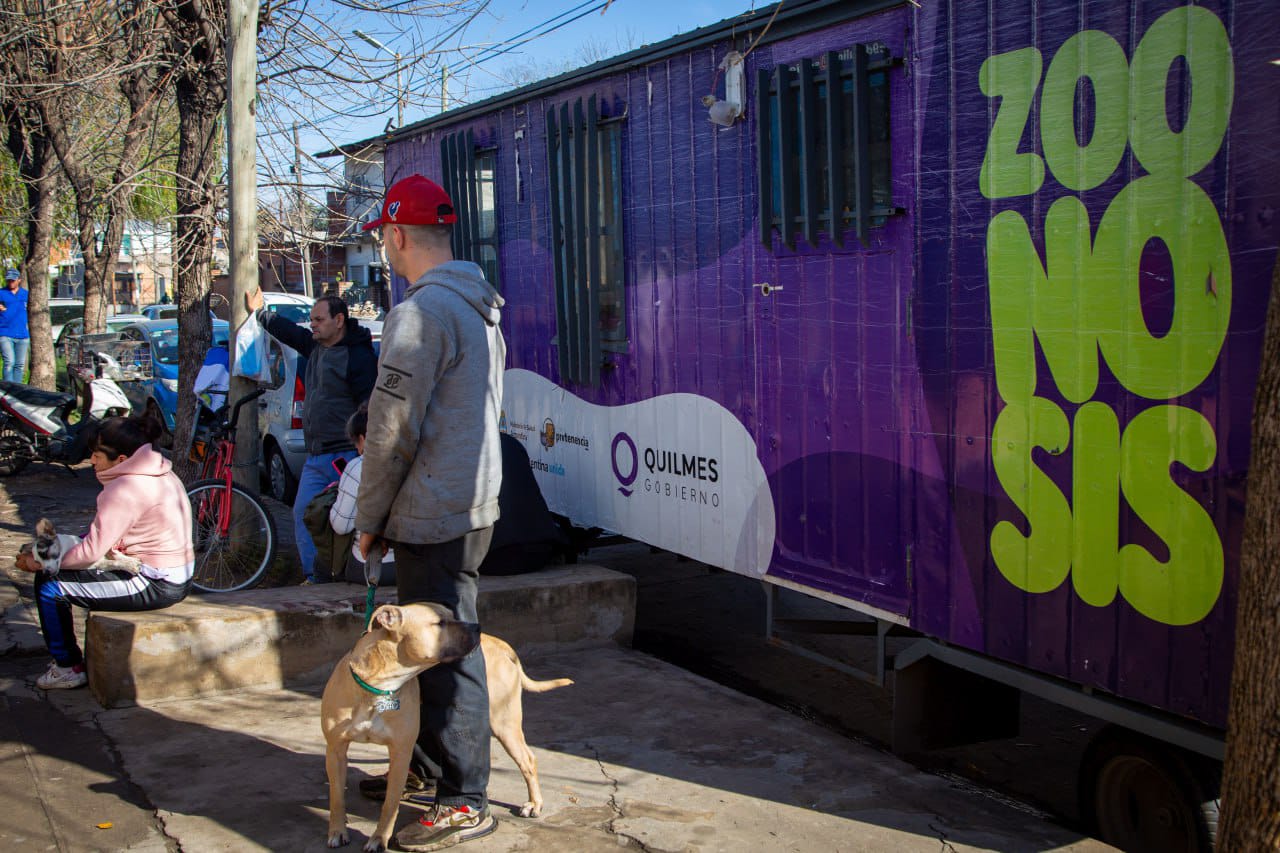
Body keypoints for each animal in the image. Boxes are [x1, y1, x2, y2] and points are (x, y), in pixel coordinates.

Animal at [320, 601, 576, 845]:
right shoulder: (335, 750)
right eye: (440, 623)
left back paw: (534, 803)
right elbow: (336, 798)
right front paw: (337, 831)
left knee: (528, 760)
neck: (379, 688)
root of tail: (501, 645)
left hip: (504, 723)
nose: (477, 627)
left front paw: (378, 839)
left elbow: (390, 807)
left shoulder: (400, 752)